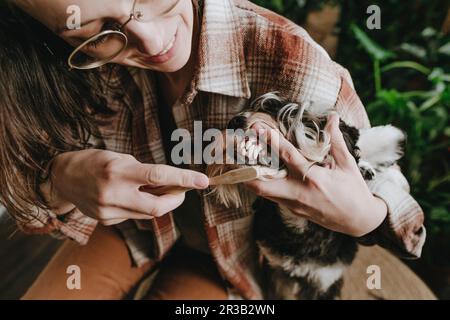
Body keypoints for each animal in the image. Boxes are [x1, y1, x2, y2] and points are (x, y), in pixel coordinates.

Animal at [207, 93, 408, 300]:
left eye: (276, 110)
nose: (235, 120)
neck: (300, 225)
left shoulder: (322, 281)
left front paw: (370, 170)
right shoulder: (276, 271)